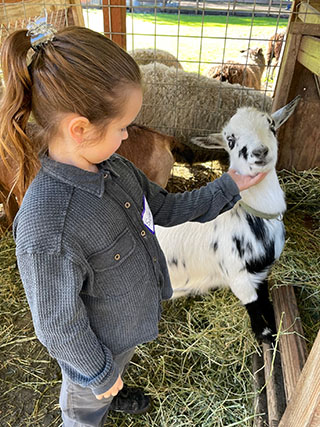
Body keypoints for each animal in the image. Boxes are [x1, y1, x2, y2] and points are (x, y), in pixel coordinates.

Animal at [156, 98, 302, 344]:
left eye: (272, 126)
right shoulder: (238, 276)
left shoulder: (260, 273)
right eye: (231, 140)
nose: (259, 152)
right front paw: (268, 338)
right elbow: (256, 313)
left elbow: (265, 302)